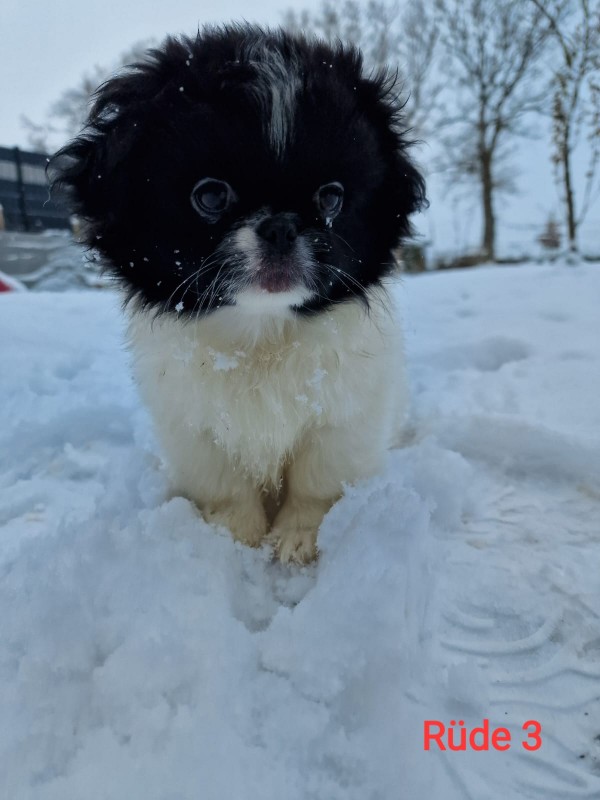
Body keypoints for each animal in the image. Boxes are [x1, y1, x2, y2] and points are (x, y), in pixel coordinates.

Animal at [51, 25, 426, 564]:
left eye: (331, 198)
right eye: (210, 195)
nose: (281, 226)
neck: (259, 337)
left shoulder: (346, 417)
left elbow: (319, 481)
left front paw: (300, 539)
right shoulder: (192, 428)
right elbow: (224, 485)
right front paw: (233, 538)